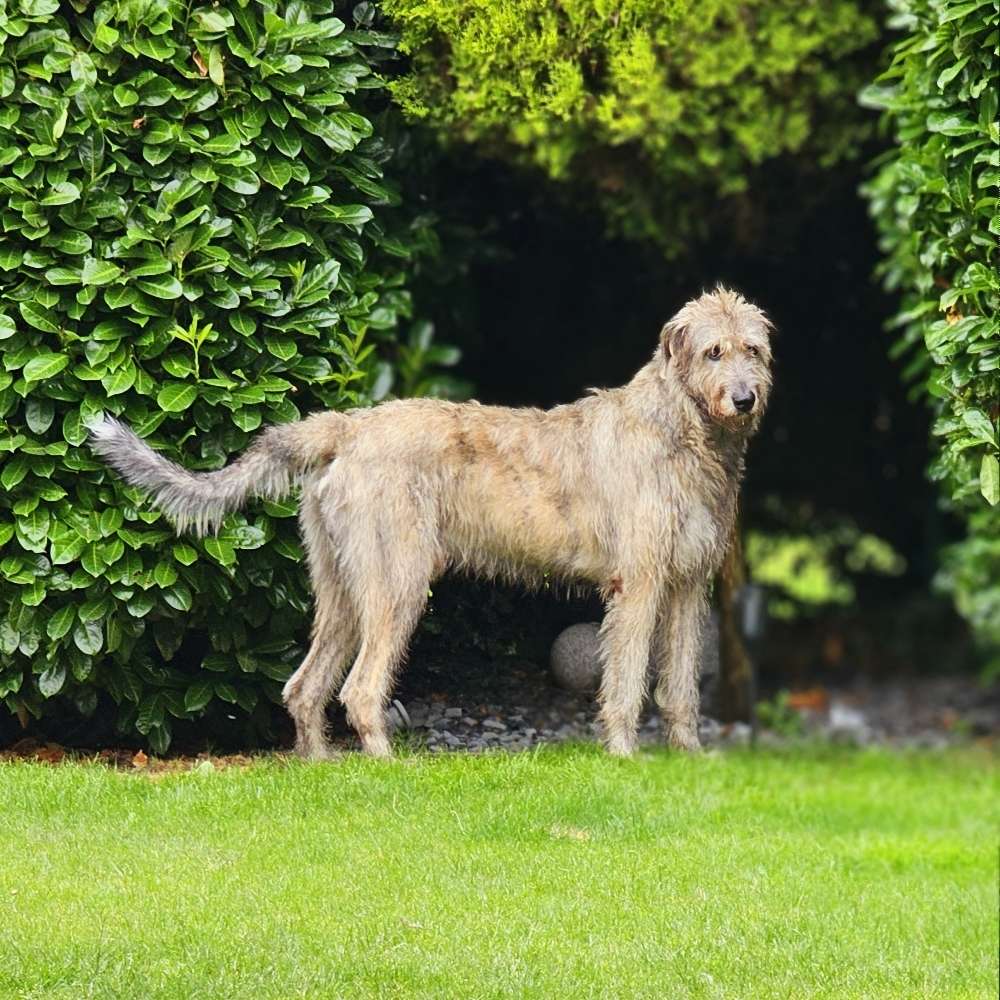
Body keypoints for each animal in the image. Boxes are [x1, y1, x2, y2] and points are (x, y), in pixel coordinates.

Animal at [90, 290, 772, 756]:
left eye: (754, 350)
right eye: (712, 352)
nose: (745, 400)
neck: (682, 427)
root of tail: (348, 425)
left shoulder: (687, 586)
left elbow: (681, 683)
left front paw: (689, 757)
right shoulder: (639, 584)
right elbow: (627, 680)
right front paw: (626, 756)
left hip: (344, 586)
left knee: (305, 686)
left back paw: (319, 766)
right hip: (398, 581)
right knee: (360, 690)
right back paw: (389, 766)